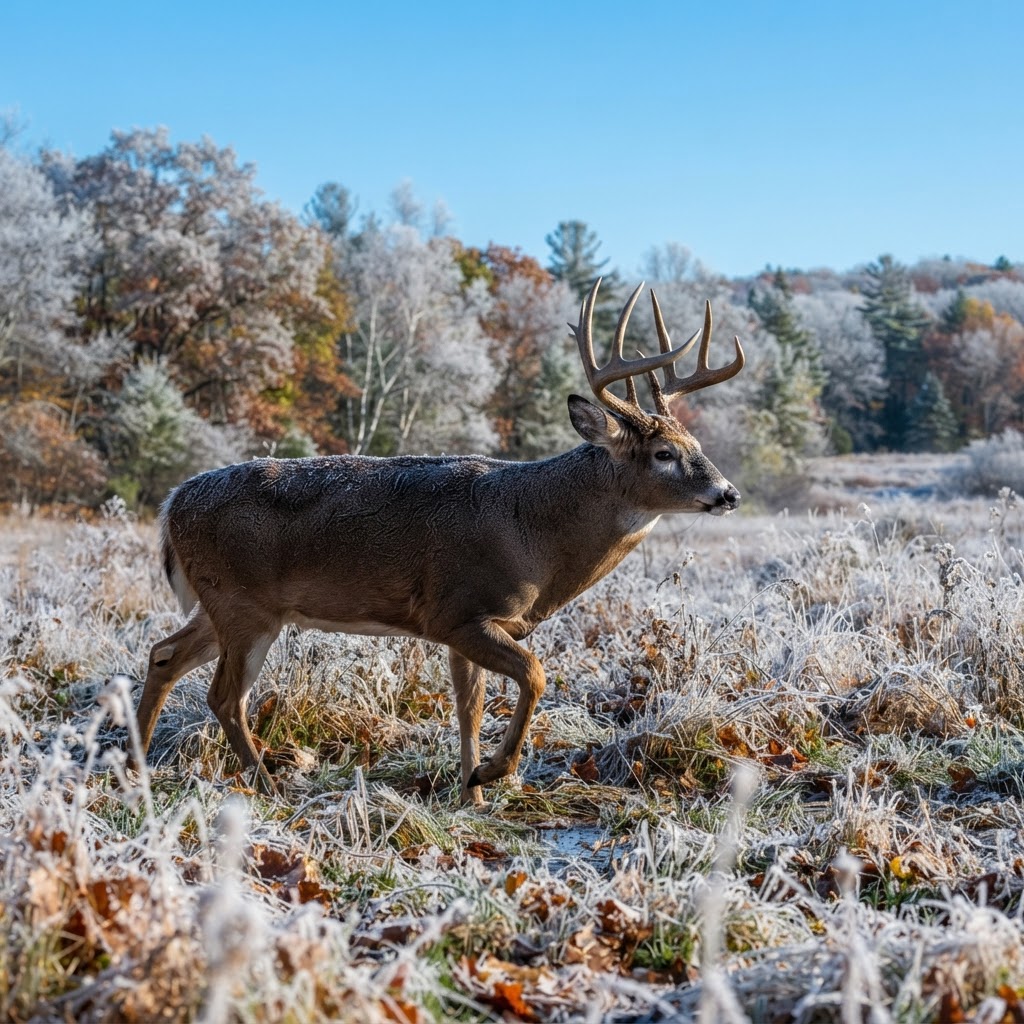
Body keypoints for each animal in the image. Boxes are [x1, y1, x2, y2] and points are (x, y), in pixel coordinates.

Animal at [134, 278, 744, 806]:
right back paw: (265, 784)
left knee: (164, 654)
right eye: (664, 453)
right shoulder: (457, 611)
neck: (535, 533)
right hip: (244, 604)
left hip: (223, 603)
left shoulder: (469, 626)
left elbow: (467, 709)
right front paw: (494, 773)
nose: (728, 493)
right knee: (224, 696)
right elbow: (536, 674)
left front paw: (472, 793)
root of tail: (173, 503)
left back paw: (135, 765)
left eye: (696, 443)